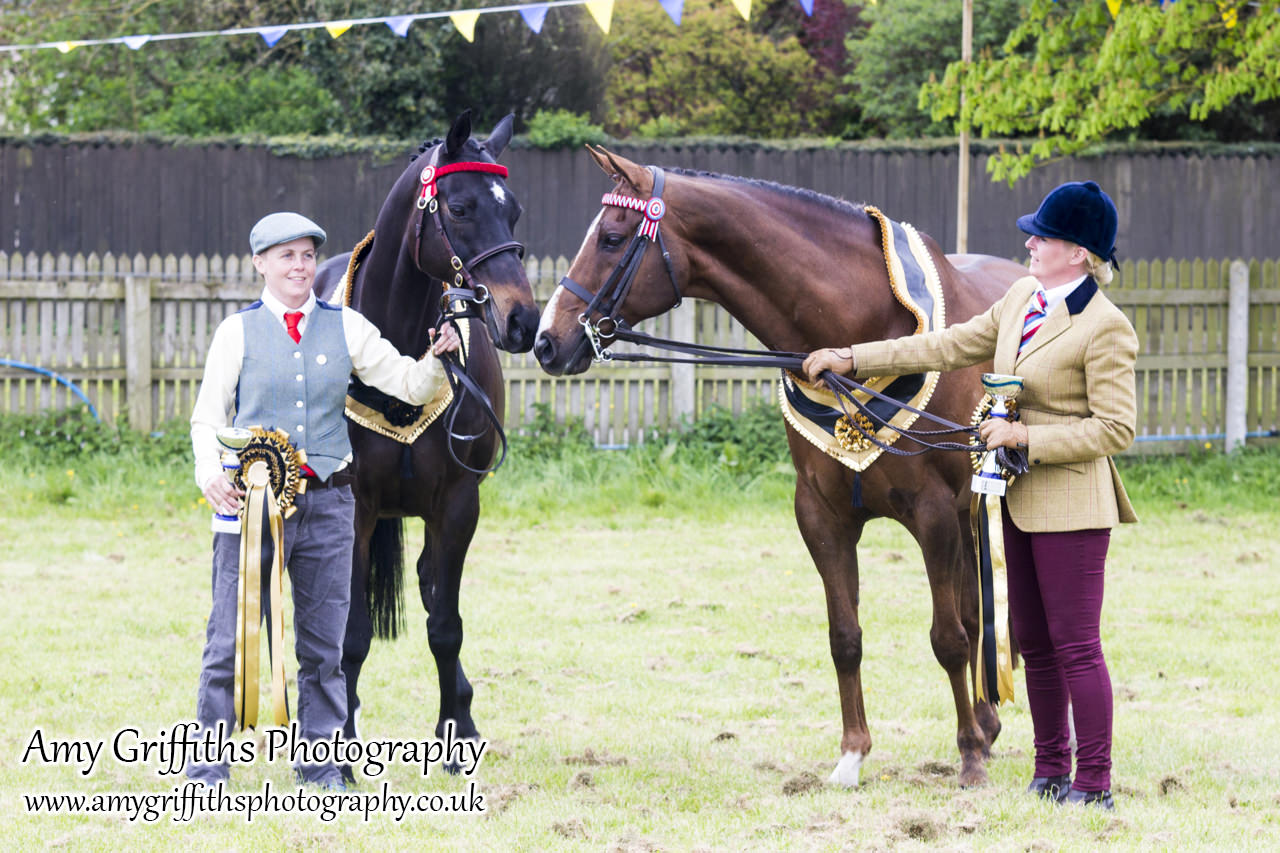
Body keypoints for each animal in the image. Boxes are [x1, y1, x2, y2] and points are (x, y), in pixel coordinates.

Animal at [314, 109, 540, 758]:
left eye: (513, 210)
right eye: (460, 208)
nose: (523, 319)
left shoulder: (458, 506)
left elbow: (445, 626)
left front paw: (456, 731)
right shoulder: (357, 509)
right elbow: (352, 633)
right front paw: (340, 743)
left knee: (429, 584)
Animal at [532, 146, 1029, 783]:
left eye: (613, 239)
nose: (546, 341)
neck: (862, 335)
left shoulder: (934, 513)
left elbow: (949, 638)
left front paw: (967, 757)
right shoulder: (821, 516)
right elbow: (846, 636)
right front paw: (852, 755)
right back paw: (988, 725)